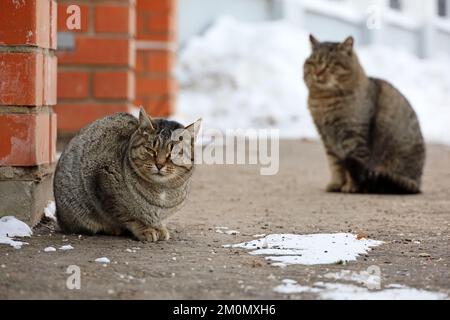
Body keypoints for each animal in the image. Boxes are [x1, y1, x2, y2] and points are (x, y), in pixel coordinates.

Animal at [53, 107, 201, 240]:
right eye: (150, 150)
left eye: (174, 153)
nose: (159, 164)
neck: (161, 190)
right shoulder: (106, 185)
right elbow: (131, 216)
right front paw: (146, 229)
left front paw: (159, 228)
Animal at [302, 36, 426, 194]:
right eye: (313, 63)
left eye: (330, 65)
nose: (317, 73)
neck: (324, 100)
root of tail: (417, 183)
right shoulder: (328, 141)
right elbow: (335, 166)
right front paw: (335, 184)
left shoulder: (354, 139)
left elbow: (352, 169)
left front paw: (351, 187)